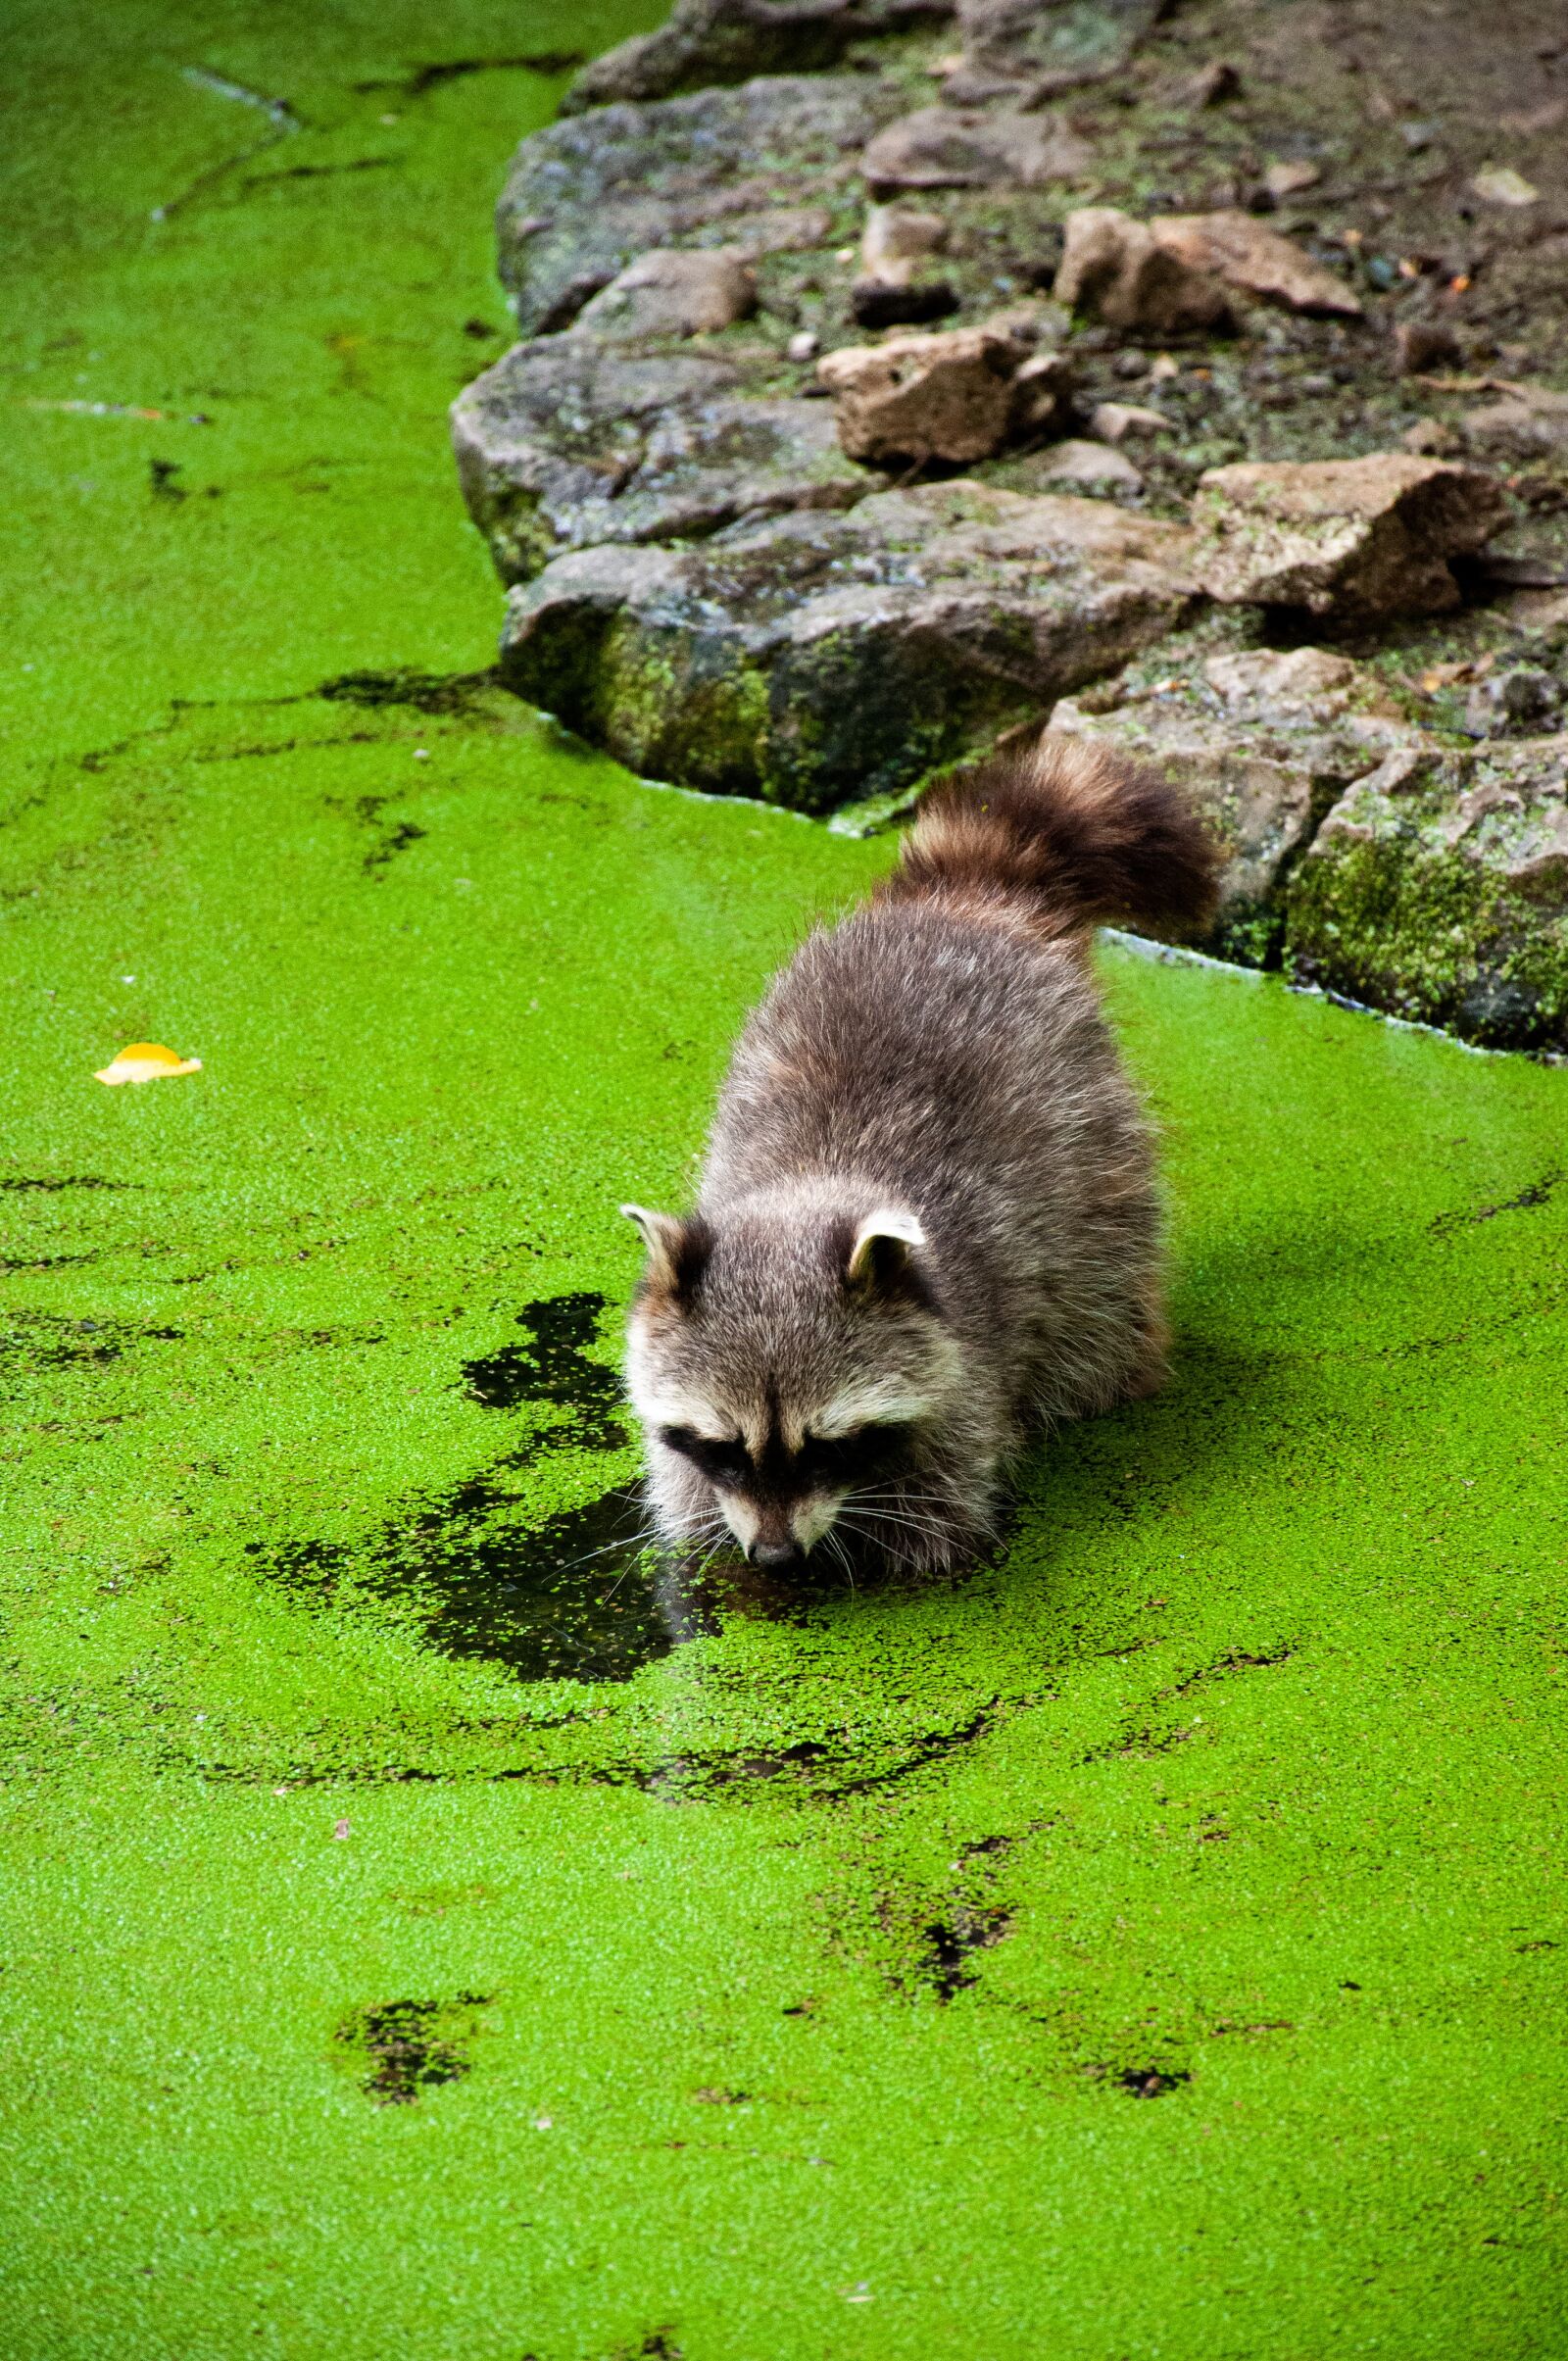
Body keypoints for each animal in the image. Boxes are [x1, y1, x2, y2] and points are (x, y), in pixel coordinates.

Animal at [618, 726, 1218, 1577]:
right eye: (725, 1445)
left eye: (826, 1444)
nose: (776, 1556)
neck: (811, 1181)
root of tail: (970, 902)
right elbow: (692, 1513)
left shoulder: (962, 1380)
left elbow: (937, 1533)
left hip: (1095, 1149)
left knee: (1097, 1310)